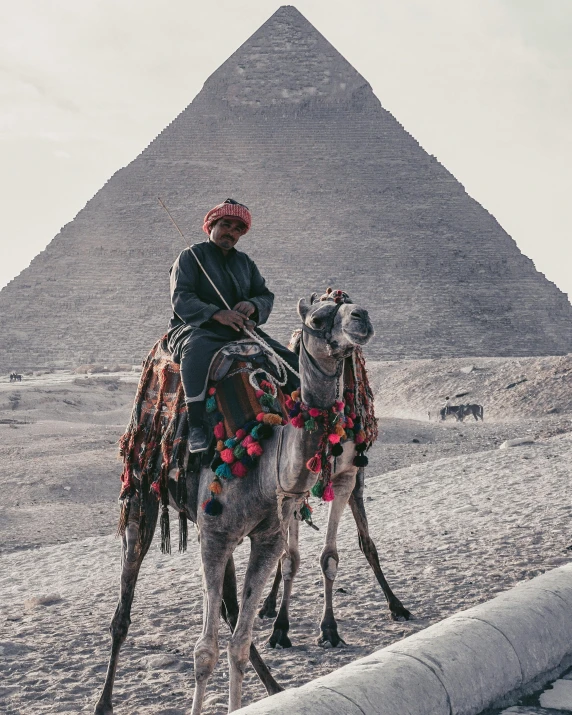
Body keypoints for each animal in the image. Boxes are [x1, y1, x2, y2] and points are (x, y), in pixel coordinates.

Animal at [95, 292, 378, 715]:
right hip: (144, 492)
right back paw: (103, 702)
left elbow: (239, 643)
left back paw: (275, 687)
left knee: (230, 610)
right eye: (317, 318)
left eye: (349, 306)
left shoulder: (266, 539)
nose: (362, 317)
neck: (263, 455)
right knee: (123, 607)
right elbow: (205, 651)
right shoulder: (215, 538)